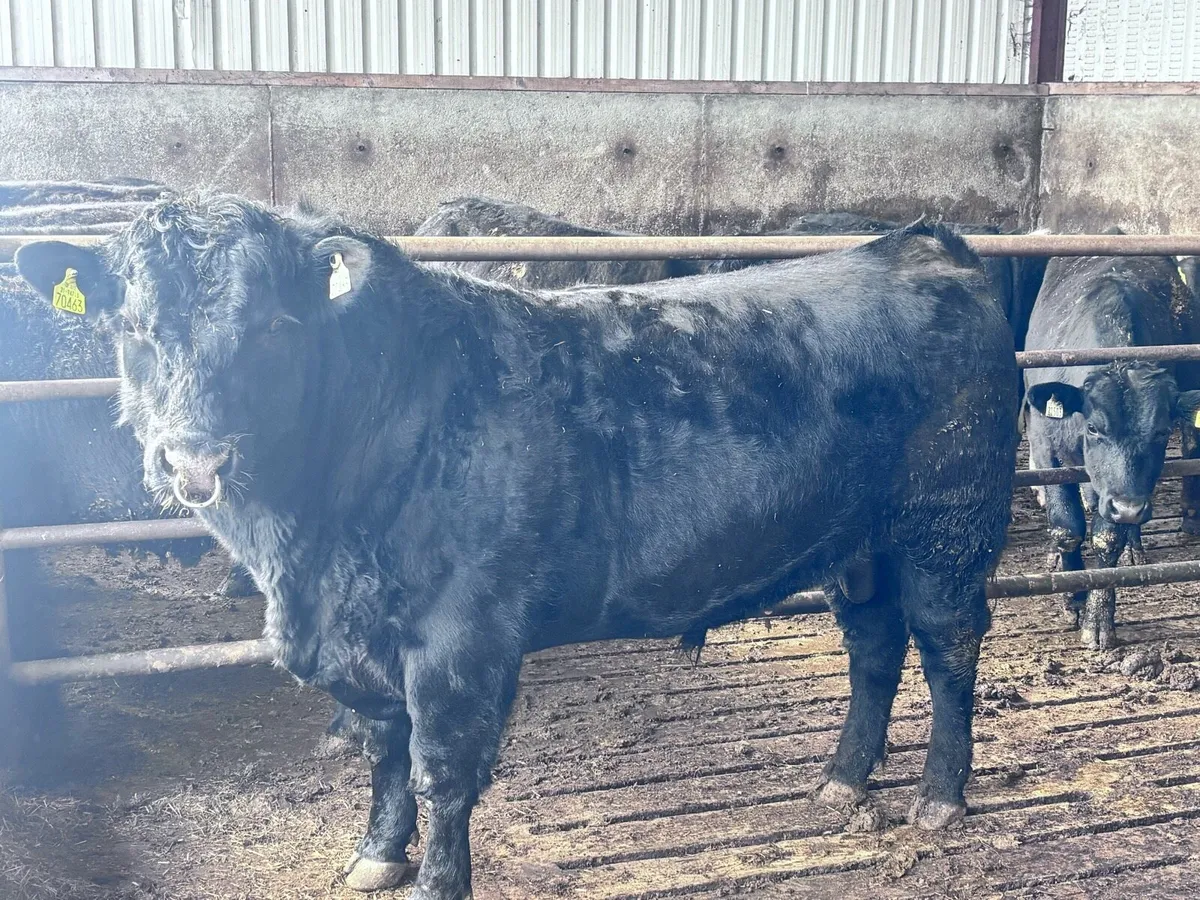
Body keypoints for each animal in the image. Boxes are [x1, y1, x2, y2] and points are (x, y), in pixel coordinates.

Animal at [1023, 232, 1200, 650]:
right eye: (1093, 428)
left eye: (1161, 431)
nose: (1130, 508)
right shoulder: (1046, 448)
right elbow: (1066, 529)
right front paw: (1073, 596)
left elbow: (1106, 540)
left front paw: (1098, 617)